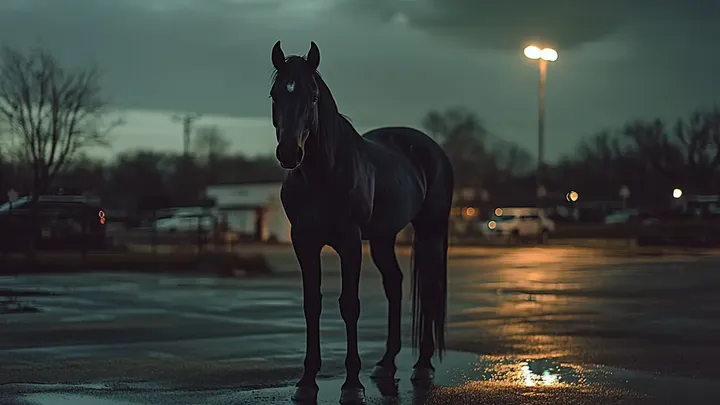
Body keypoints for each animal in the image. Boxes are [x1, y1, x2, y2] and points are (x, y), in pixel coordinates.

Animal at [269, 41, 454, 404]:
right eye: (274, 94)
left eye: (313, 96)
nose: (289, 153)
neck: (322, 175)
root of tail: (434, 150)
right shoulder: (304, 242)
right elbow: (312, 303)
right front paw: (306, 381)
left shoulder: (350, 241)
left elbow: (349, 305)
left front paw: (352, 385)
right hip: (383, 238)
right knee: (395, 284)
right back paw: (386, 363)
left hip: (429, 232)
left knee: (429, 289)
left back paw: (423, 365)